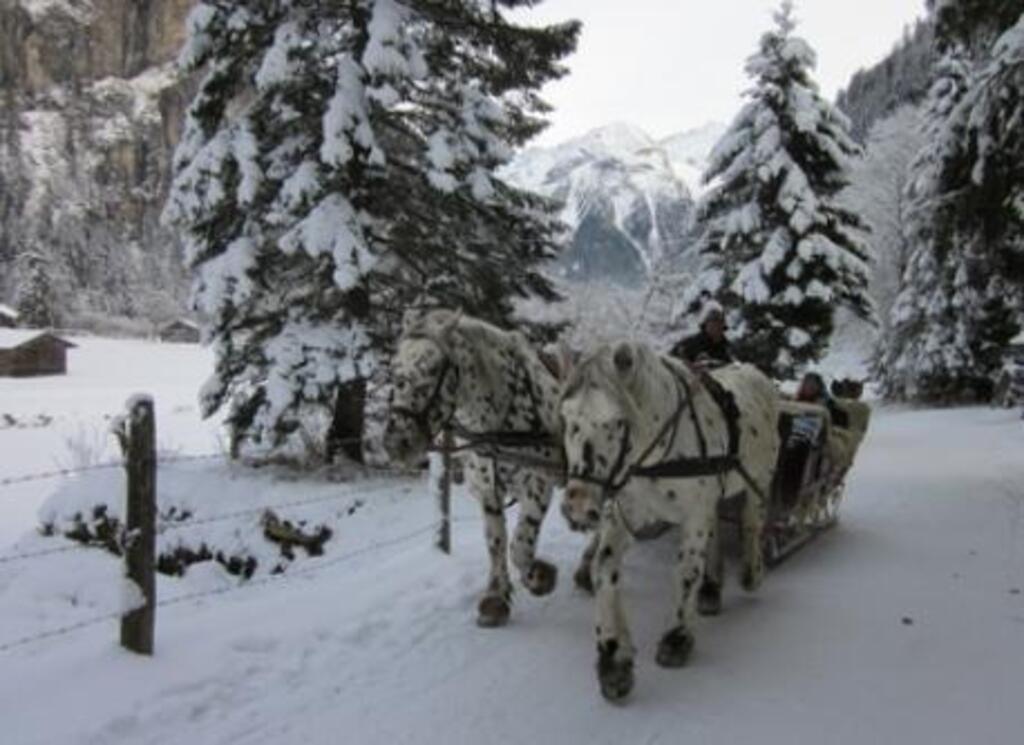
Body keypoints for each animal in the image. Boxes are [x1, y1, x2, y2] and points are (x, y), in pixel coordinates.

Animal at [382, 309, 572, 627]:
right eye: (395, 368)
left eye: (433, 368)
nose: (397, 443)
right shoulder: (487, 490)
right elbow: (496, 542)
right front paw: (496, 599)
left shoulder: (538, 483)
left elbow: (520, 546)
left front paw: (541, 577)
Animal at [559, 341, 780, 701]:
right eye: (566, 419)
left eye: (617, 422)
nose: (578, 506)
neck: (654, 458)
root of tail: (754, 371)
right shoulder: (624, 513)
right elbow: (604, 570)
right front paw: (613, 658)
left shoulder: (693, 513)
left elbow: (686, 571)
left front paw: (676, 638)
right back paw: (712, 588)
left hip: (759, 478)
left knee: (751, 522)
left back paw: (751, 572)